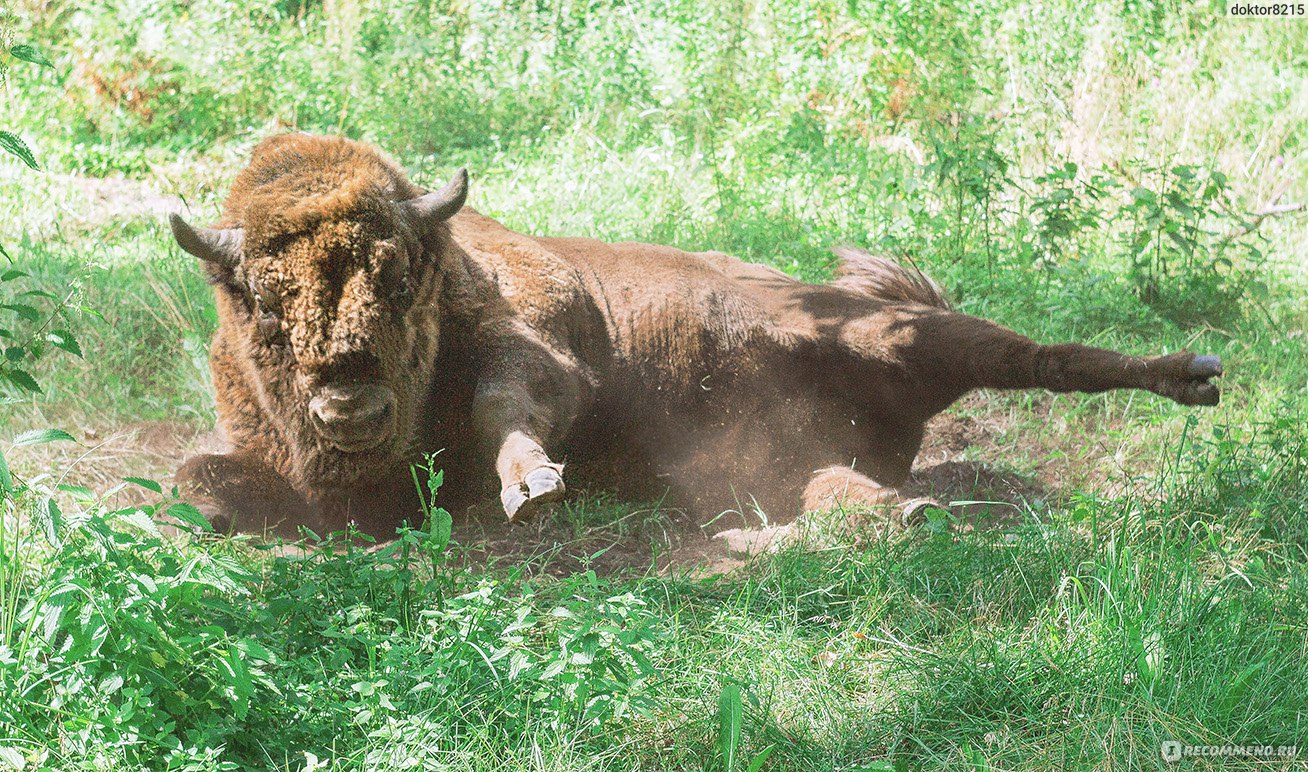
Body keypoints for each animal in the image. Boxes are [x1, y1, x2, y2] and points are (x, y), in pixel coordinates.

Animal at [168, 134, 1219, 539]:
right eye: (261, 299)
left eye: (397, 279)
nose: (349, 401)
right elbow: (195, 478)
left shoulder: (540, 345)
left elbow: (505, 402)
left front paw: (532, 483)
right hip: (775, 464)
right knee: (832, 491)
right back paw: (908, 516)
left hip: (908, 335)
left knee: (1044, 358)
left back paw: (1194, 374)